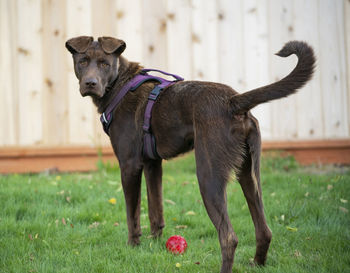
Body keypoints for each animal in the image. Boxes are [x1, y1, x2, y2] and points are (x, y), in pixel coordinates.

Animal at [65, 36, 314, 272]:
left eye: (105, 64)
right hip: (250, 174)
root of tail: (233, 101)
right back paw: (257, 263)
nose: (90, 83)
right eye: (83, 61)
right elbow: (156, 211)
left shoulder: (129, 165)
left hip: (208, 176)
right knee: (264, 230)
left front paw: (133, 246)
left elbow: (132, 214)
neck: (120, 85)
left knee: (229, 237)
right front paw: (154, 244)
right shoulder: (153, 164)